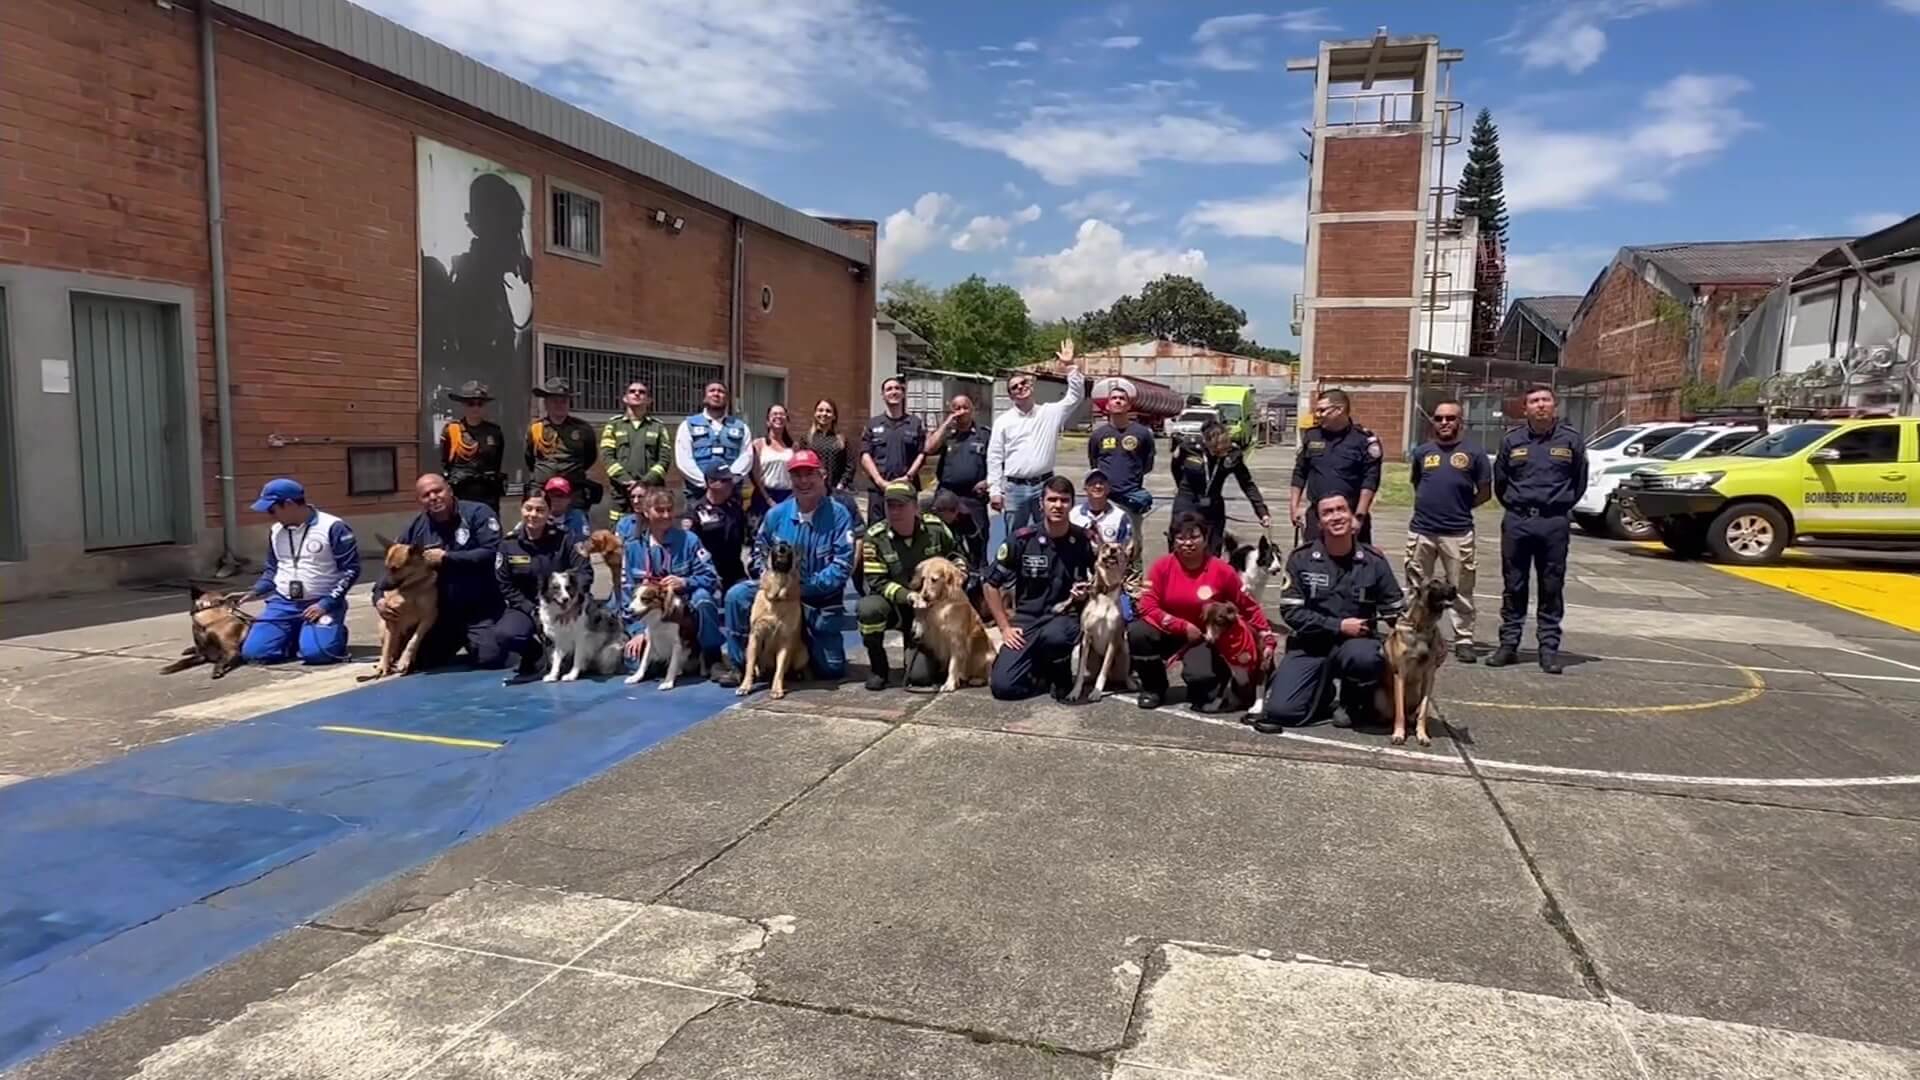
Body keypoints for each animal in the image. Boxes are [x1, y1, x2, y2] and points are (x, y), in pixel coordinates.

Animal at [362, 534, 439, 676]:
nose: (380, 587)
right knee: (389, 647)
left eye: (395, 569)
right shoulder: (391, 619)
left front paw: (405, 661)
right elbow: (387, 646)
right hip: (383, 626)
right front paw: (383, 666)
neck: (410, 588)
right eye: (386, 567)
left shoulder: (429, 616)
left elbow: (413, 641)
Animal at [729, 538, 798, 699]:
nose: (782, 548)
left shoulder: (785, 640)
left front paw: (777, 689)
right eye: (775, 545)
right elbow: (749, 666)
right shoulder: (756, 637)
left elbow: (780, 669)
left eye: (788, 546)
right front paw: (745, 686)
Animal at [910, 553, 998, 687]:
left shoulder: (957, 640)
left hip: (989, 659)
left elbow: (953, 664)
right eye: (923, 578)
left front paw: (949, 684)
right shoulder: (935, 632)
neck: (943, 602)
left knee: (987, 677)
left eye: (934, 579)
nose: (925, 596)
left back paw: (976, 680)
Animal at [1075, 534, 1128, 699]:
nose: (1113, 550)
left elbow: (1103, 670)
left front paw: (1096, 692)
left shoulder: (1113, 639)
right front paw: (1074, 692)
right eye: (1105, 546)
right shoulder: (1086, 637)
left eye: (1119, 548)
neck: (1105, 591)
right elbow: (1080, 671)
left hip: (1124, 649)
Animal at [1374, 576, 1459, 745]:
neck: (1422, 627)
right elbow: (1399, 711)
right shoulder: (1400, 674)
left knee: (1416, 712)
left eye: (1447, 580)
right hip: (1379, 698)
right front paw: (1399, 734)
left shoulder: (1429, 676)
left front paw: (1422, 735)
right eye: (1434, 582)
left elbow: (1423, 710)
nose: (1454, 588)